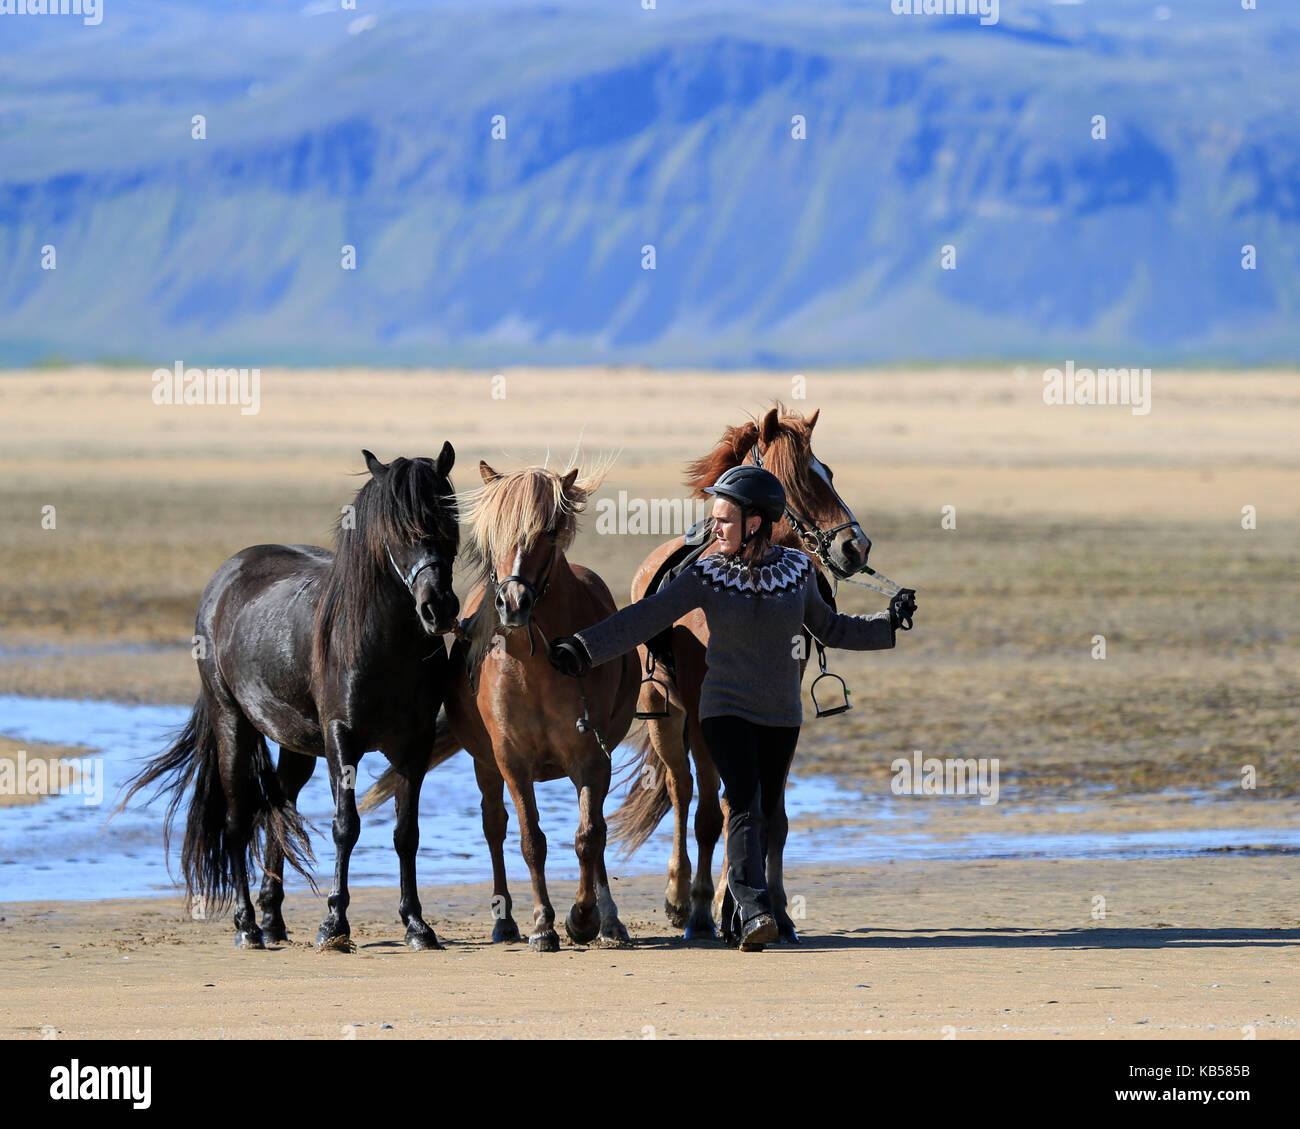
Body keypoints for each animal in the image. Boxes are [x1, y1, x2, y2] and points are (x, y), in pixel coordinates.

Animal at [118, 444, 462, 946]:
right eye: (397, 530)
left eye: (450, 519)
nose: (438, 608)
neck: (382, 643)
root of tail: (225, 577)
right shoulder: (342, 739)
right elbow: (345, 826)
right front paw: (334, 924)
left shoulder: (415, 745)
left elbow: (406, 833)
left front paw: (417, 924)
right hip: (232, 724)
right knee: (239, 821)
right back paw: (246, 926)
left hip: (295, 745)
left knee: (277, 809)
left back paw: (272, 920)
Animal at [364, 463, 637, 946]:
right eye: (492, 534)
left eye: (548, 531)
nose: (512, 603)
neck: (535, 667)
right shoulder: (510, 760)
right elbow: (531, 839)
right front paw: (544, 923)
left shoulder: (591, 757)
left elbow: (589, 836)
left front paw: (585, 916)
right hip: (485, 764)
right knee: (494, 826)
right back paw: (505, 920)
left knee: (594, 830)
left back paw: (607, 920)